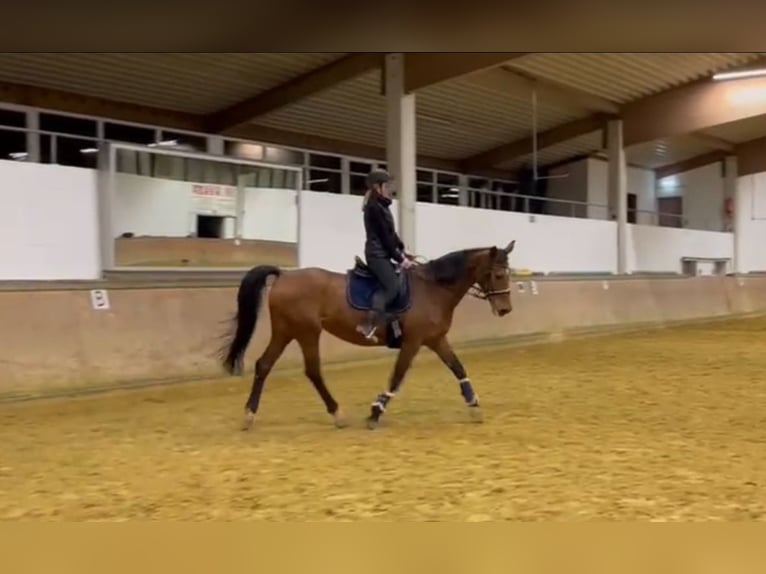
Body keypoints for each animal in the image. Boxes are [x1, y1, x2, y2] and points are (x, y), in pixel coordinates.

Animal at [220, 240, 516, 432]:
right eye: (498, 274)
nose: (505, 309)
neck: (433, 289)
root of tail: (284, 275)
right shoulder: (413, 342)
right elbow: (397, 377)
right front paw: (375, 412)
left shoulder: (435, 339)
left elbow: (458, 367)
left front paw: (474, 406)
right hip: (306, 332)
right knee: (312, 371)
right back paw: (337, 414)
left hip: (286, 331)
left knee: (264, 365)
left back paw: (249, 415)